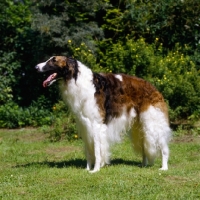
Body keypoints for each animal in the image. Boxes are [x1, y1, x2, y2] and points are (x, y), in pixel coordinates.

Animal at [35, 56, 171, 173]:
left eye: (53, 60)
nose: (36, 67)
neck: (77, 79)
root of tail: (154, 88)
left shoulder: (96, 124)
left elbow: (96, 150)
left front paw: (95, 169)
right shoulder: (84, 124)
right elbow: (88, 151)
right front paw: (87, 168)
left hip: (152, 123)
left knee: (164, 148)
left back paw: (164, 167)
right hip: (140, 126)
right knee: (145, 148)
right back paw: (143, 165)